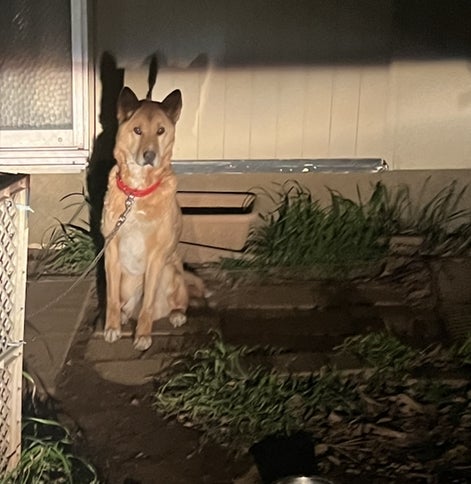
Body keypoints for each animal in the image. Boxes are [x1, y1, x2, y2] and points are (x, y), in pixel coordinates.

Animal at [101, 86, 203, 351]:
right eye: (137, 130)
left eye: (160, 131)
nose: (149, 155)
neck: (136, 193)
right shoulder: (111, 252)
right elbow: (111, 298)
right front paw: (111, 327)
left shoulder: (156, 257)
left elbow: (146, 305)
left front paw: (143, 335)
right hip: (127, 280)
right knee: (125, 305)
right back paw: (124, 316)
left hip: (170, 271)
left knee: (175, 303)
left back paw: (176, 315)